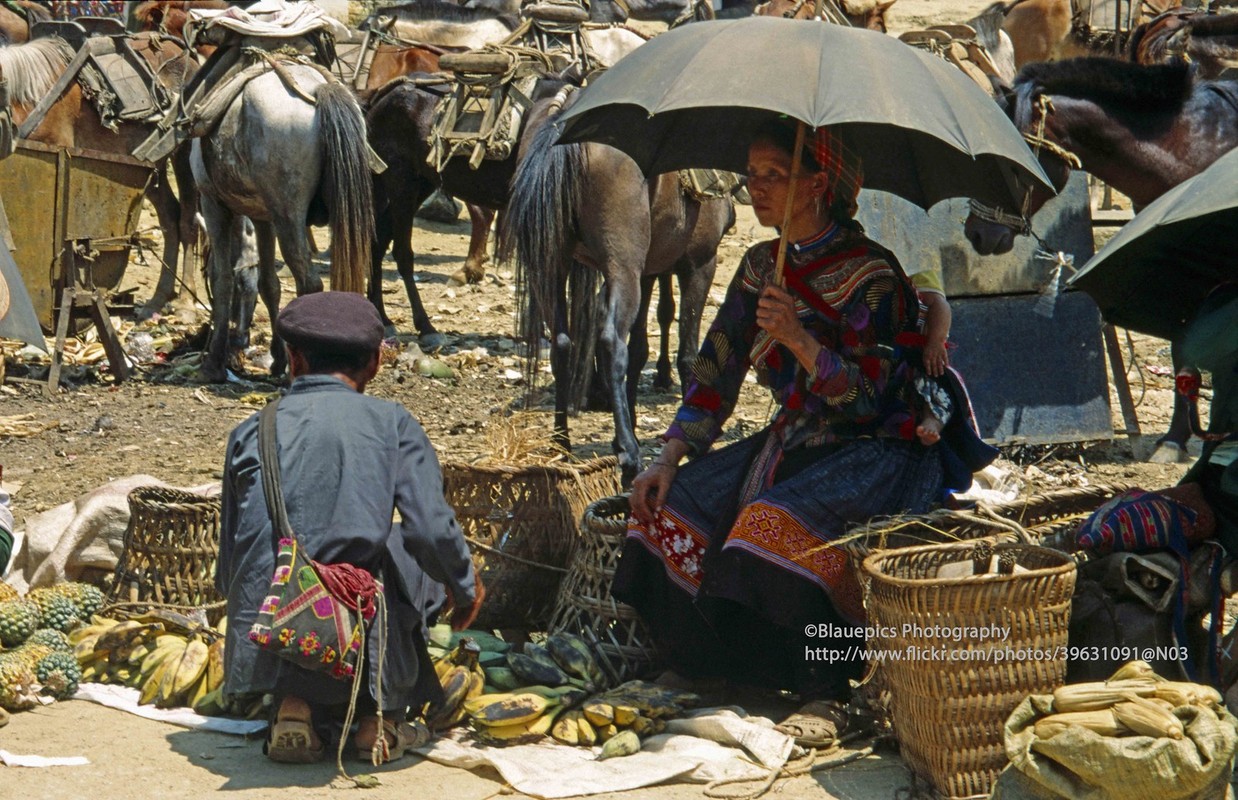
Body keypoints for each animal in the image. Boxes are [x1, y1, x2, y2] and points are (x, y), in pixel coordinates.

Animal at [188, 62, 371, 381]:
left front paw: (214, 364)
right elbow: (269, 284)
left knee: (309, 281)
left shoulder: (213, 204)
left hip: (288, 215)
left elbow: (222, 279)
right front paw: (277, 358)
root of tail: (317, 87)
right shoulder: (264, 218)